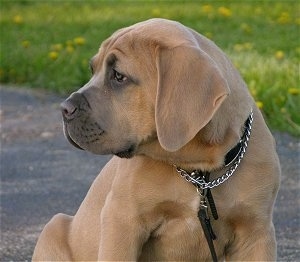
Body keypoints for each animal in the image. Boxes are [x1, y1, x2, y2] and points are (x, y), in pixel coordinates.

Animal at [33, 17, 282, 260]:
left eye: (119, 76)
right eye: (92, 68)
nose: (64, 109)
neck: (199, 171)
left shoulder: (257, 234)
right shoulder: (122, 220)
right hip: (54, 227)